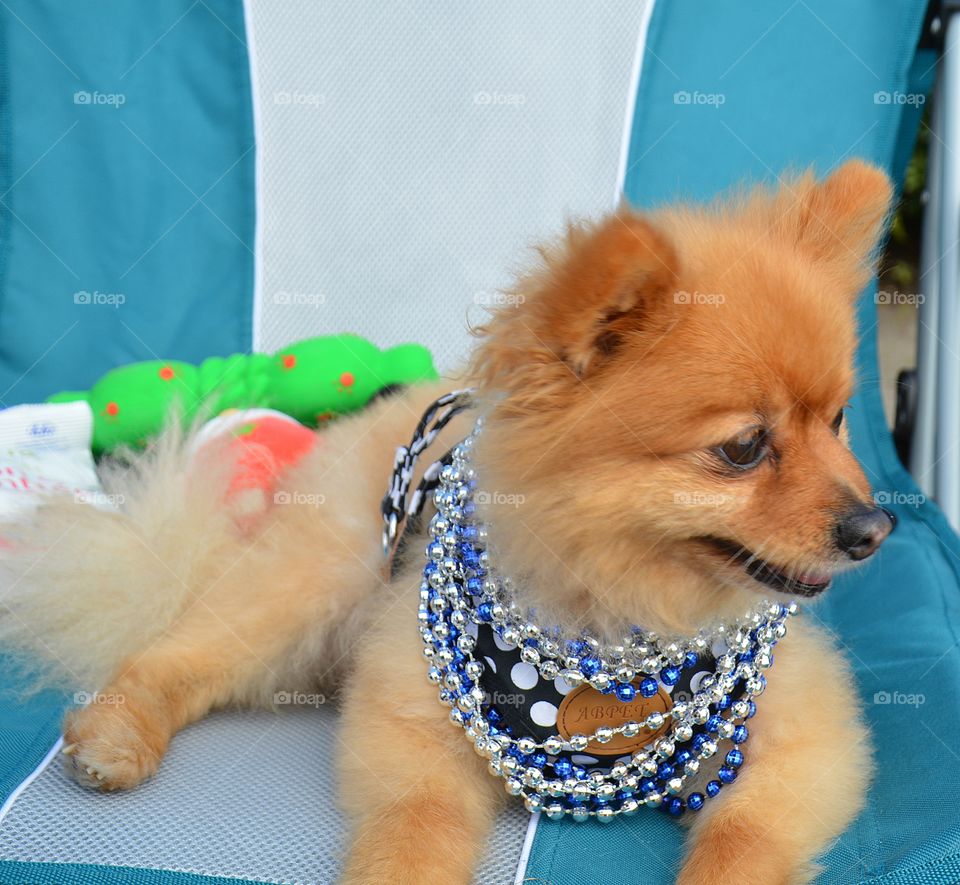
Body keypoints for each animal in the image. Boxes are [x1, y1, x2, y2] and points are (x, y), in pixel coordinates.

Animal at [3, 161, 896, 884]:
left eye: (838, 421)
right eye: (744, 447)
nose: (875, 526)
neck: (614, 615)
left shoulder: (804, 735)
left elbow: (746, 835)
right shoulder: (409, 722)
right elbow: (416, 825)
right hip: (311, 585)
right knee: (175, 655)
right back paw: (116, 733)